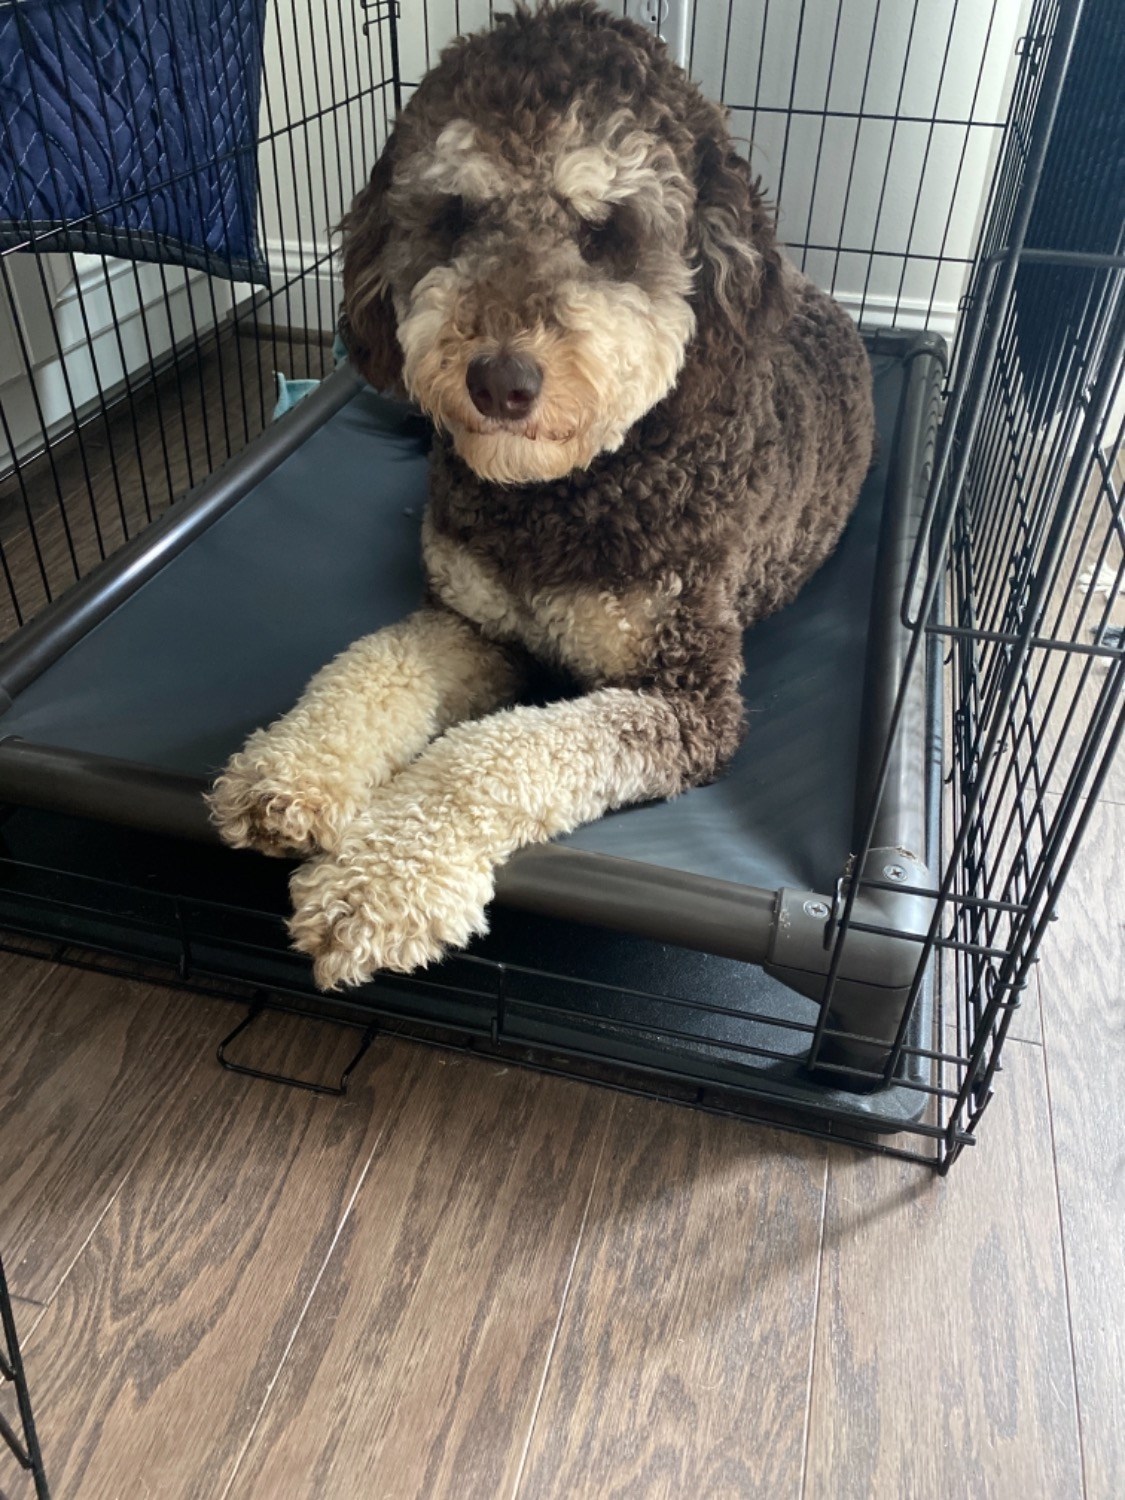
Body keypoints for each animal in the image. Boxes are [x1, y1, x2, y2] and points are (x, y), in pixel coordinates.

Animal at [211, 0, 882, 990]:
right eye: (452, 216)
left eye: (607, 231)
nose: (501, 380)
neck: (561, 496)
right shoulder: (470, 623)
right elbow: (372, 664)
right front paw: (289, 772)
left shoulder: (688, 700)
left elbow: (492, 751)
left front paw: (376, 887)